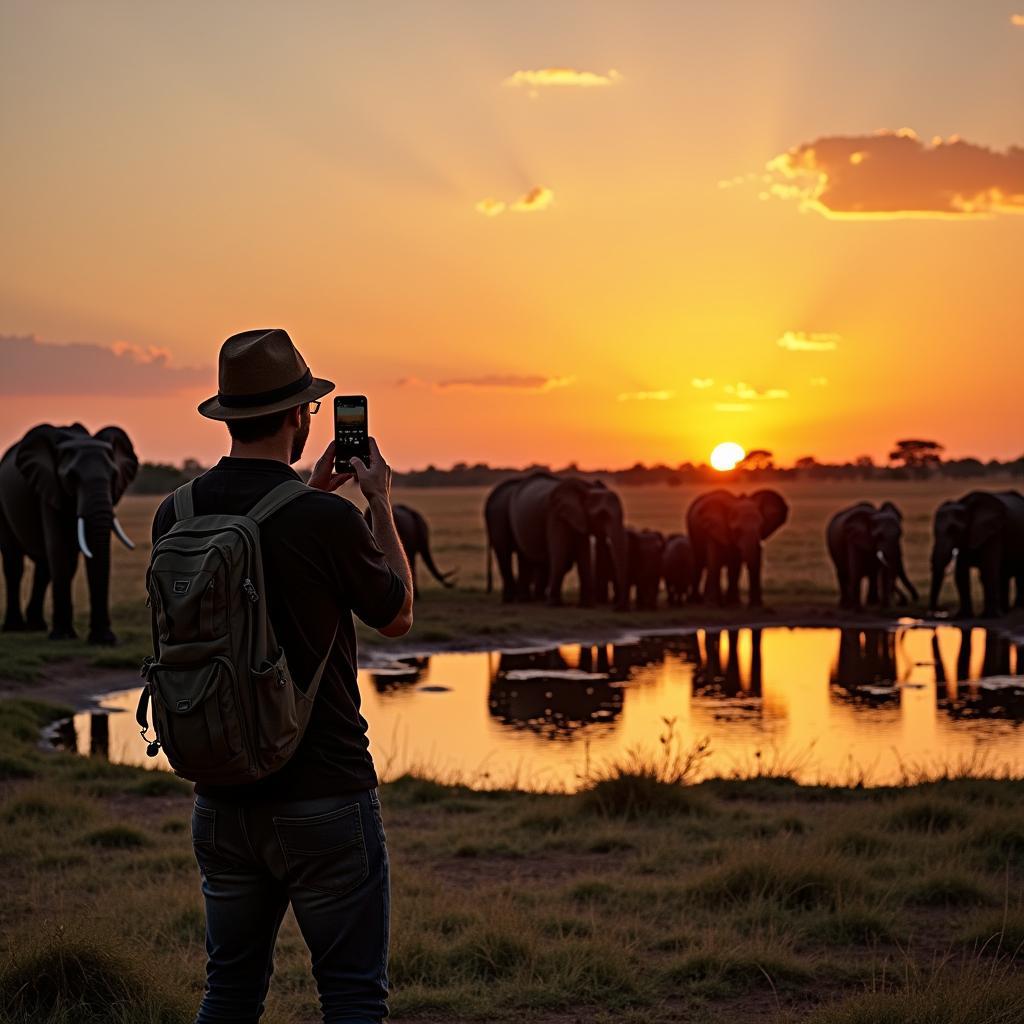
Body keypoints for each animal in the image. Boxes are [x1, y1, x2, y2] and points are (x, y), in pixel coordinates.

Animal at [0, 421, 138, 638]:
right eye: (72, 477)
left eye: (114, 475)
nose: (106, 637)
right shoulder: (49, 486)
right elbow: (58, 547)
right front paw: (63, 636)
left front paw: (102, 639)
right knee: (14, 563)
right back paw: (15, 628)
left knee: (45, 567)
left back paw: (36, 626)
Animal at [483, 471, 626, 606]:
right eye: (603, 515)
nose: (619, 607)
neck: (586, 488)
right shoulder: (555, 514)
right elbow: (560, 553)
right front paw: (553, 604)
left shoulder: (579, 517)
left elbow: (584, 555)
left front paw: (587, 605)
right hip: (498, 516)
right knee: (505, 554)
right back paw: (512, 600)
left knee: (524, 557)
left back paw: (526, 599)